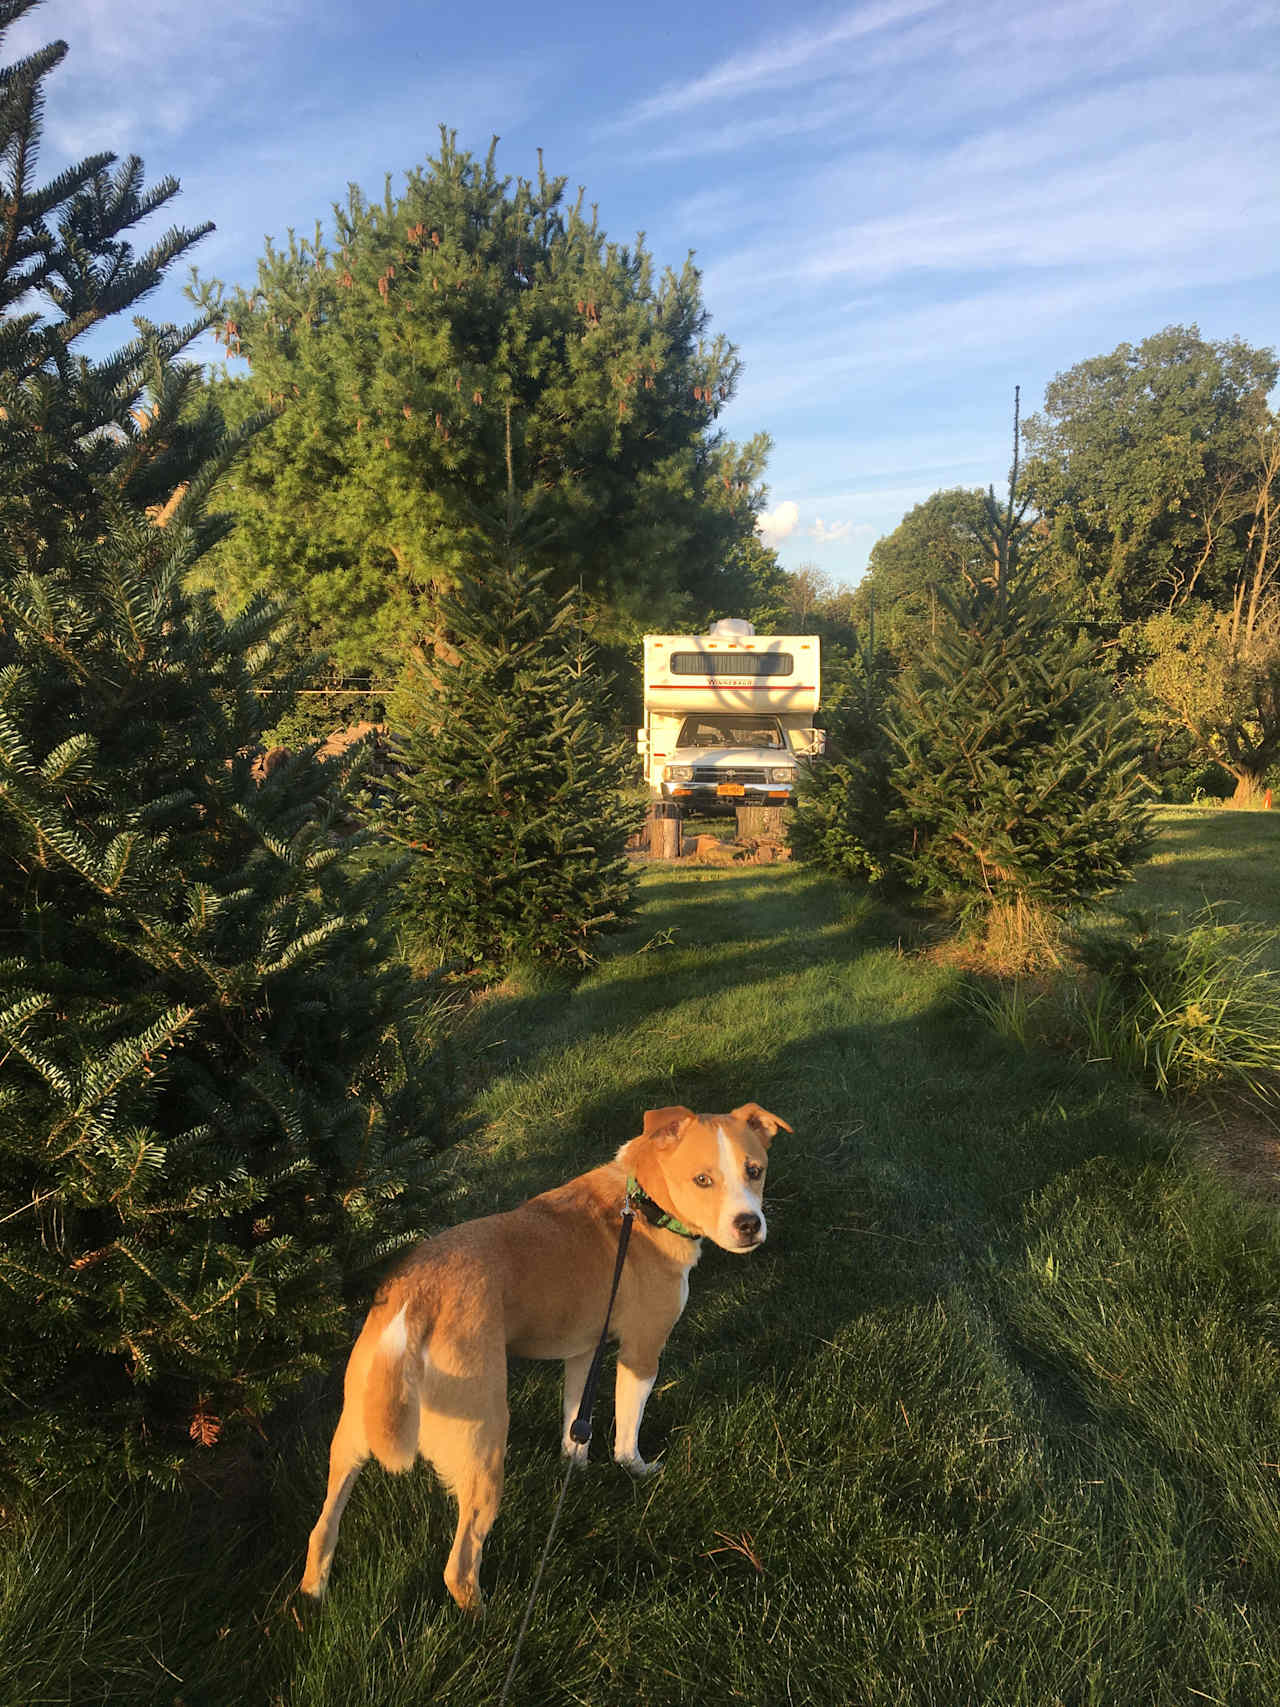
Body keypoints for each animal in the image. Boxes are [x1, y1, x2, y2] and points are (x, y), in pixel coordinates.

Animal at [303, 1099, 791, 1604]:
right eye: (702, 1179)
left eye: (755, 1170)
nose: (749, 1225)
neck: (641, 1202)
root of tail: (416, 1297)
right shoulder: (640, 1351)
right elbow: (626, 1435)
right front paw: (638, 1469)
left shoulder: (583, 1352)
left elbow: (575, 1423)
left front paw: (575, 1467)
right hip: (484, 1449)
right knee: (459, 1566)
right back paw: (485, 1613)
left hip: (352, 1433)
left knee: (322, 1528)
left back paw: (312, 1596)